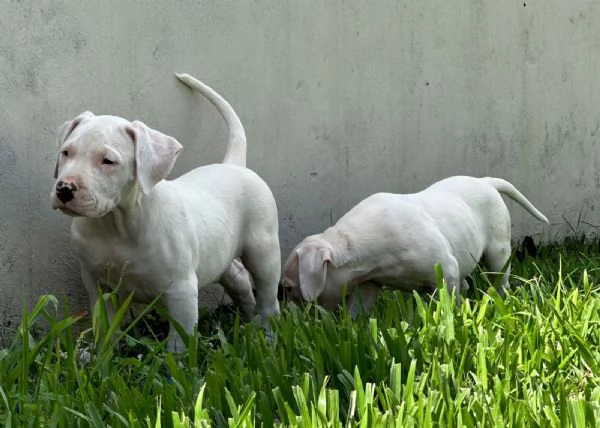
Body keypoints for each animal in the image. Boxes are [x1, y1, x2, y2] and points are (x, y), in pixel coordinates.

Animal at [51, 72, 282, 352]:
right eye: (66, 153)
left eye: (108, 161)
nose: (64, 189)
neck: (116, 223)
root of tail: (234, 165)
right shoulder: (96, 283)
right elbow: (105, 326)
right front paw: (102, 353)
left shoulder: (182, 291)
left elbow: (179, 343)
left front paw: (178, 361)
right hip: (220, 254)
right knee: (240, 284)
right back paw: (249, 326)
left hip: (263, 251)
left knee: (269, 298)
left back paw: (267, 337)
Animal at [282, 176, 548, 316]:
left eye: (288, 288)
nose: (289, 313)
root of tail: (487, 182)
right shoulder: (369, 283)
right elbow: (359, 308)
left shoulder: (445, 269)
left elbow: (448, 302)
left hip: (497, 251)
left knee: (499, 278)